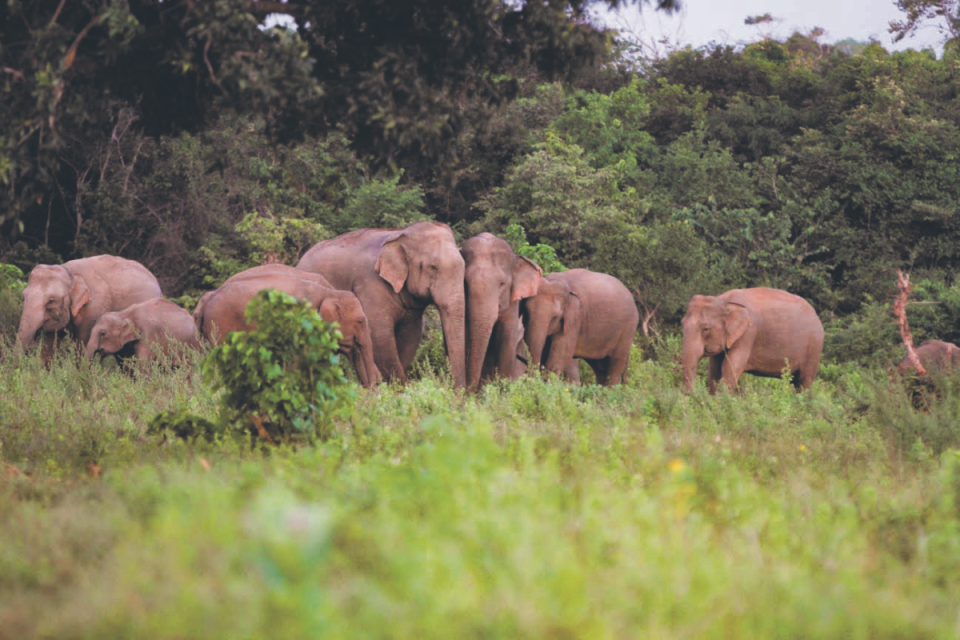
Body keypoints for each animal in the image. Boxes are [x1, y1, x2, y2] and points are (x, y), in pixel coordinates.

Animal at [17, 255, 163, 352]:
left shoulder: (94, 307)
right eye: (23, 297)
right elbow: (49, 344)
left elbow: (82, 343)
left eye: (51, 301)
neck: (69, 272)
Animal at [298, 220, 466, 390]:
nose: (457, 392)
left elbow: (410, 337)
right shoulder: (370, 285)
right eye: (433, 267)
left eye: (464, 267)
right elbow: (379, 335)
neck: (400, 234)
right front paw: (397, 390)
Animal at [464, 232, 544, 388]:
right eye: (465, 283)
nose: (470, 391)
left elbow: (507, 338)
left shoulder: (512, 304)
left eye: (502, 284)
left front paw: (502, 388)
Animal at [684, 288, 824, 392]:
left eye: (706, 329)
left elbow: (730, 368)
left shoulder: (748, 334)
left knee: (804, 381)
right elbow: (715, 369)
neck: (723, 301)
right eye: (682, 323)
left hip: (814, 348)